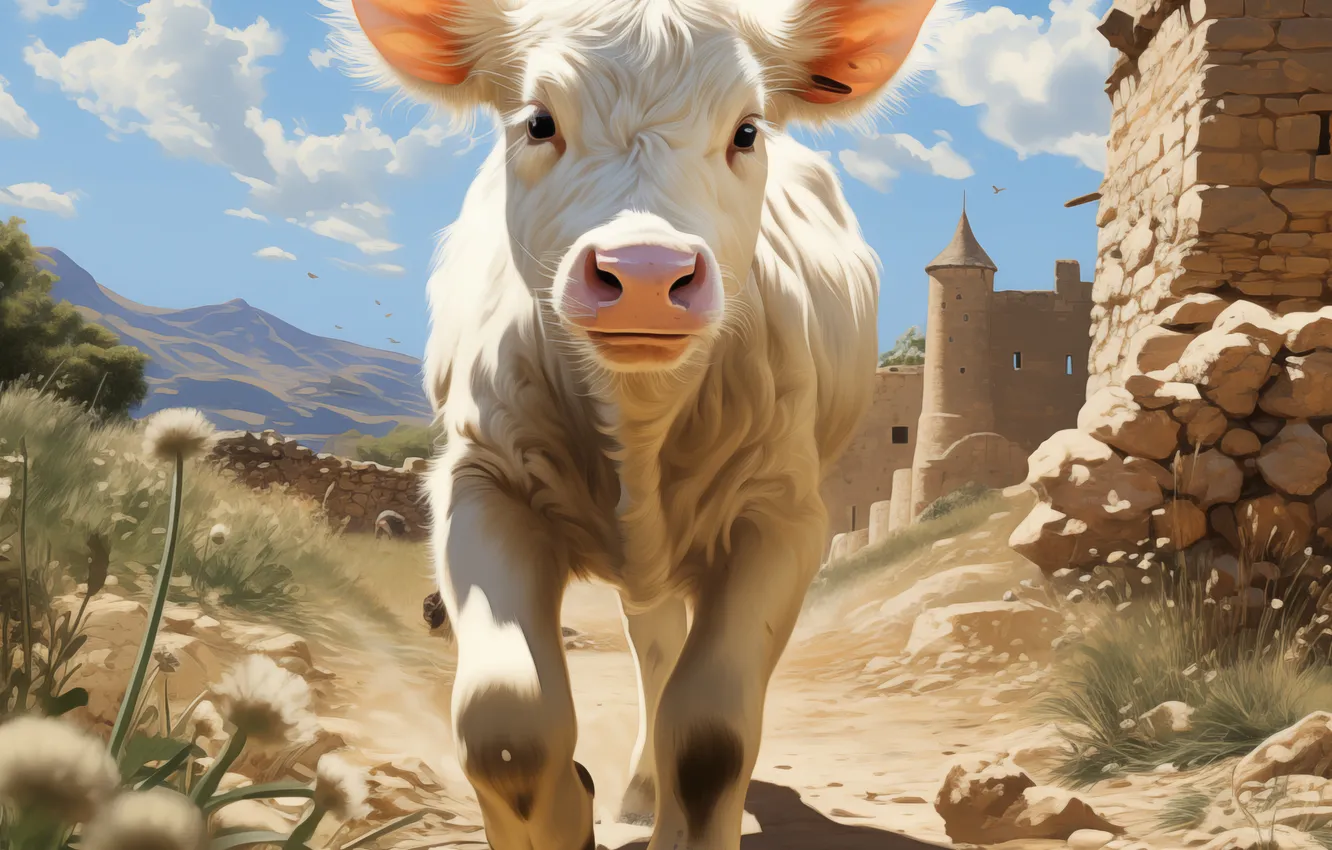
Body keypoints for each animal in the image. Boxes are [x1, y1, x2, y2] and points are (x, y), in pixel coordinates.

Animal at [324, 0, 947, 846]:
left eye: (747, 130)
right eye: (539, 121)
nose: (647, 273)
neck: (638, 418)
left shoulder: (783, 515)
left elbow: (712, 736)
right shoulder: (481, 483)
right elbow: (508, 728)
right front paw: (578, 802)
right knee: (653, 647)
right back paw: (641, 794)